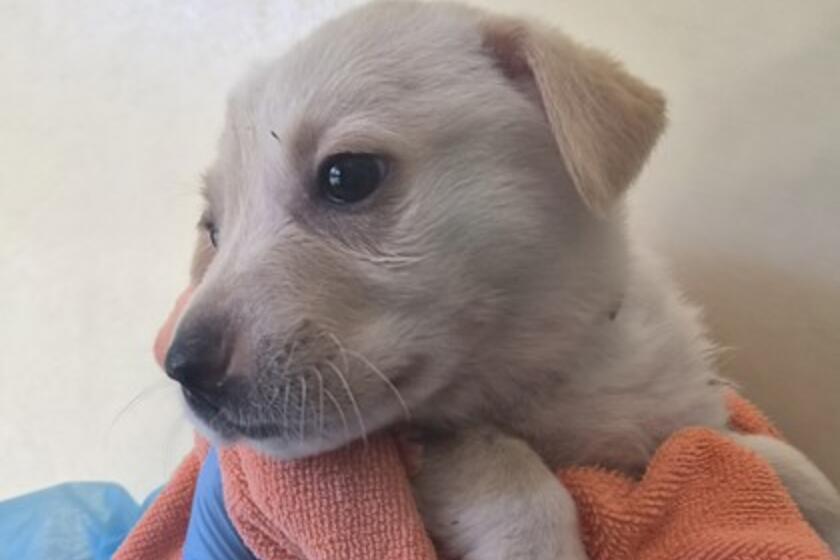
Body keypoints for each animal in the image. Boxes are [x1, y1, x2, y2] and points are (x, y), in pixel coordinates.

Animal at [163, 2, 840, 558]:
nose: (182, 368)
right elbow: (510, 473)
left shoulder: (678, 422)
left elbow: (776, 458)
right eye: (213, 231)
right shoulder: (439, 439)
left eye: (347, 176)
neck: (559, 364)